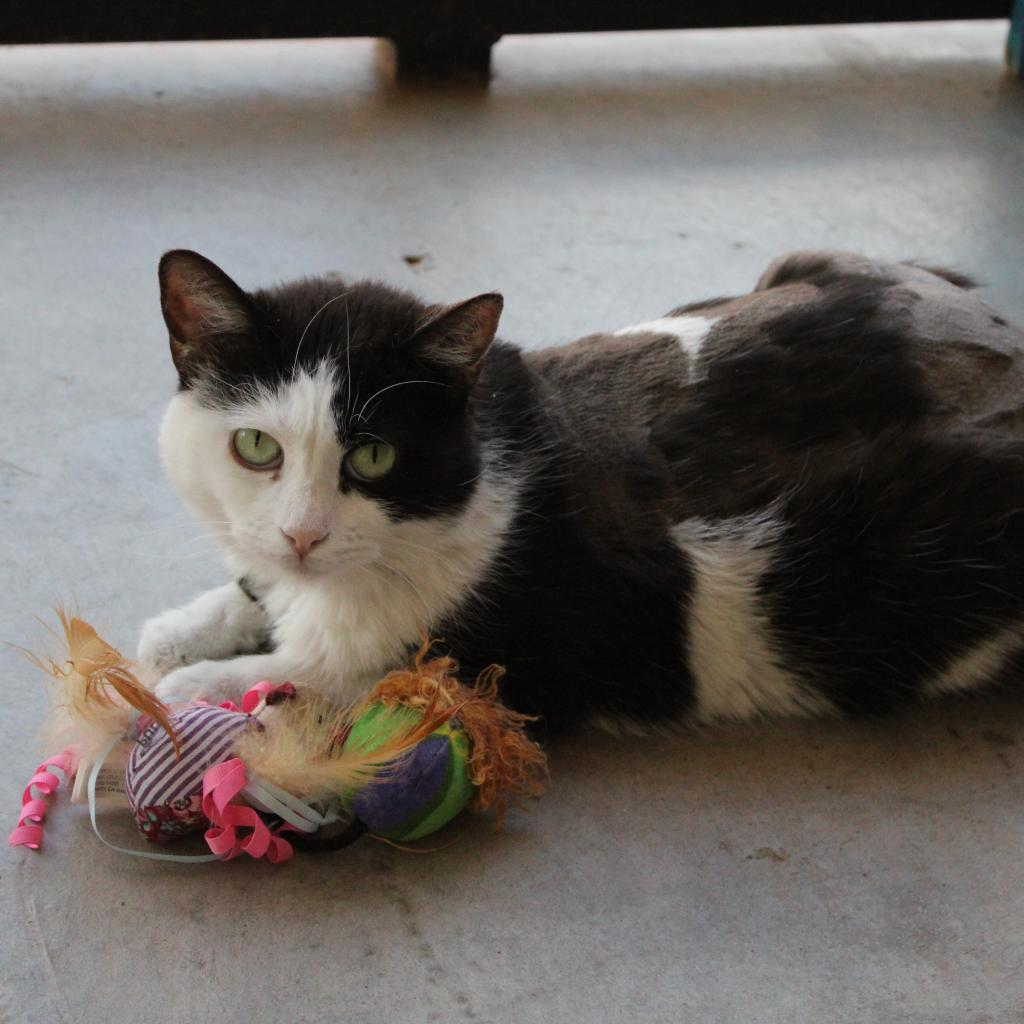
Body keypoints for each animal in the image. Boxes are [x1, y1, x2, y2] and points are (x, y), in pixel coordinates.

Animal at [142, 251, 1024, 737]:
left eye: (374, 456)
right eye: (256, 446)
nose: (303, 535)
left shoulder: (523, 671)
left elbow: (345, 677)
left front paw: (193, 689)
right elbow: (251, 592)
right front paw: (177, 633)